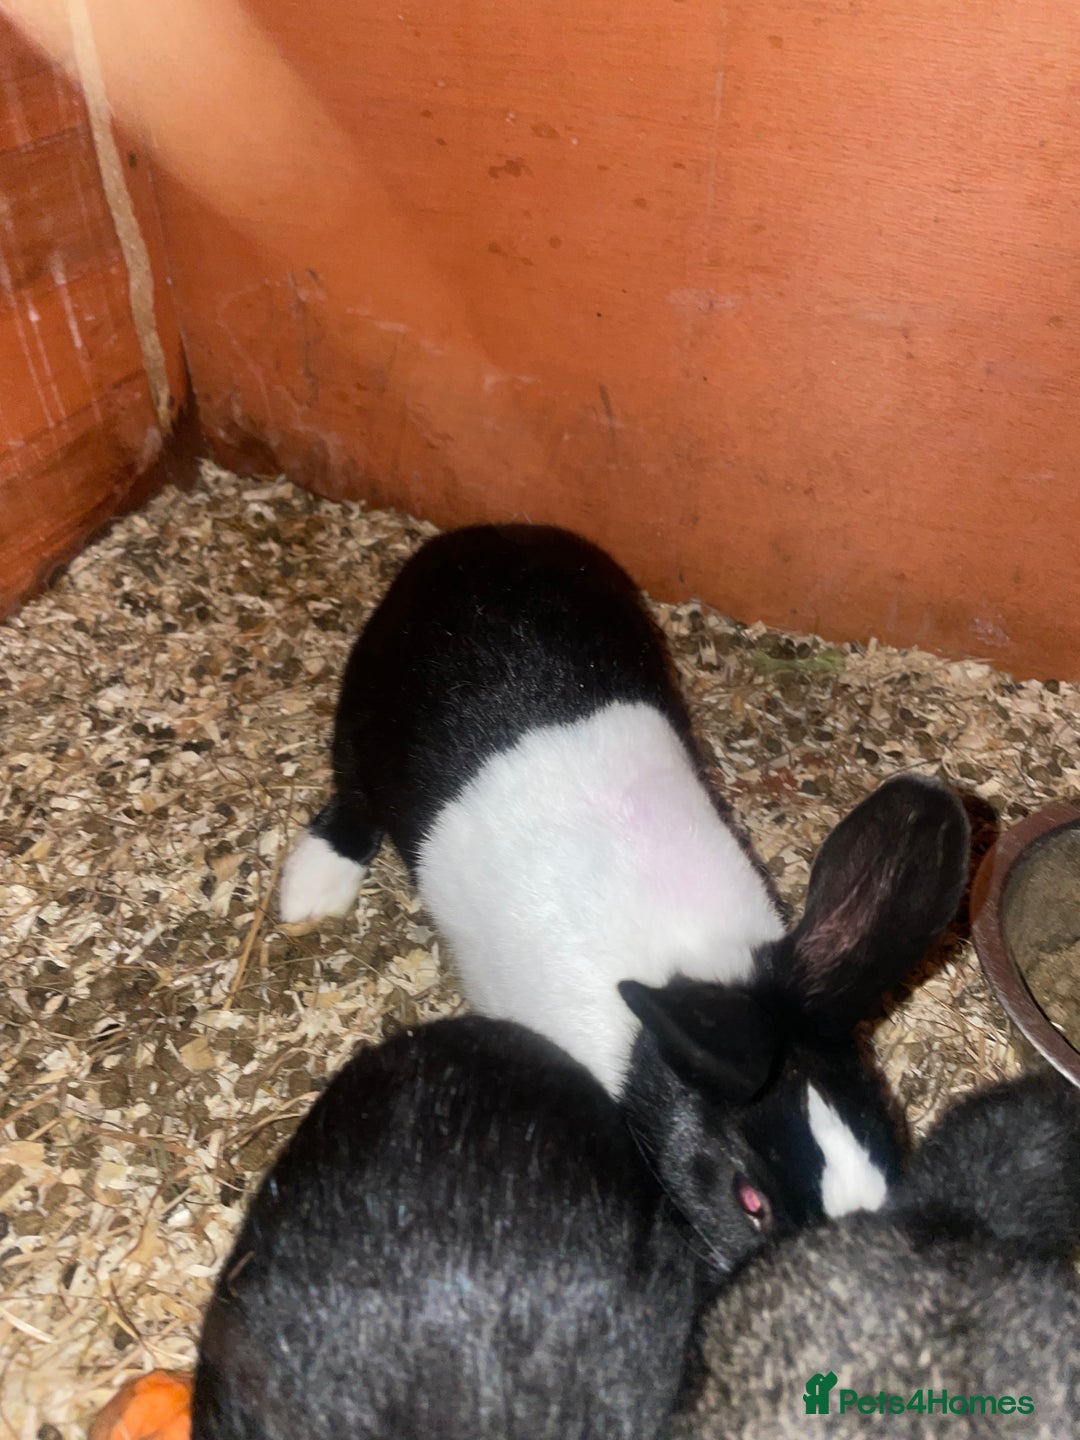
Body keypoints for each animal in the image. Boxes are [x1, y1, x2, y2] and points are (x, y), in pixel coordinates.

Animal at [280, 524, 970, 1272]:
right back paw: (310, 889)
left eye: (893, 1153)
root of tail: (482, 538)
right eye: (749, 1199)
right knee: (351, 791)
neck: (690, 972)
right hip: (363, 711)